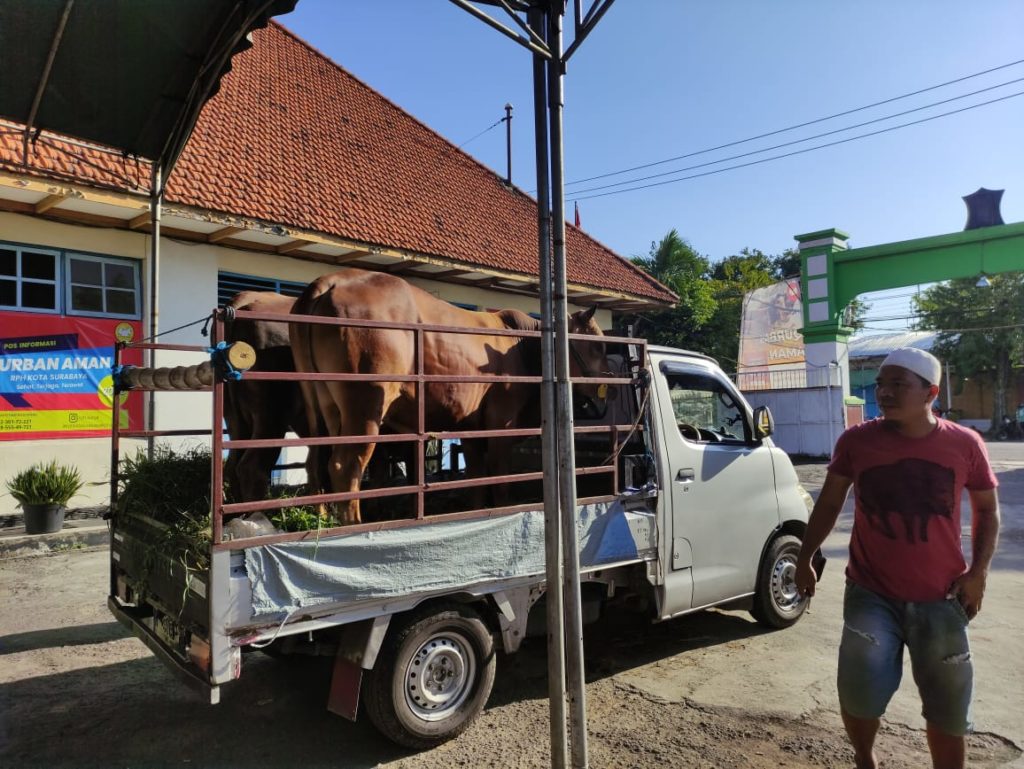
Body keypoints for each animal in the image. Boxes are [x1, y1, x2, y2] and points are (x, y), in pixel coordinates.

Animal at [288, 268, 606, 528]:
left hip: (326, 405)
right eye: (597, 346)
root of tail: (331, 280)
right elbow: (500, 481)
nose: (608, 388)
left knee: (317, 462)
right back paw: (353, 526)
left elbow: (477, 479)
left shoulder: (472, 427)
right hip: (366, 405)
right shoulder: (501, 422)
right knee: (346, 466)